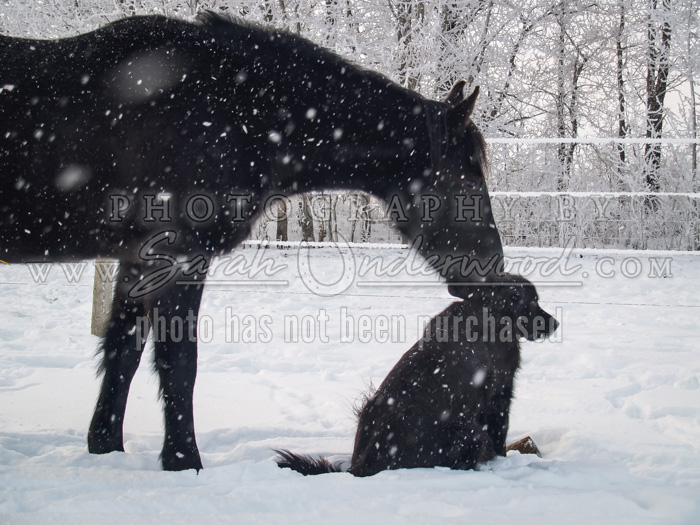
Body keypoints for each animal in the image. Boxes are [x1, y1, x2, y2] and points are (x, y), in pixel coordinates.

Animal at [0, 12, 504, 470]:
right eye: (467, 183)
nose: (492, 270)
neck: (237, 107)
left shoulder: (137, 259)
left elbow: (123, 352)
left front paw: (106, 447)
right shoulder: (179, 257)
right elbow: (179, 362)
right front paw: (183, 461)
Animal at [278, 276, 556, 476]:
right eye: (531, 301)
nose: (555, 323)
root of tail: (362, 464)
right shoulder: (499, 395)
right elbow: (500, 434)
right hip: (471, 433)